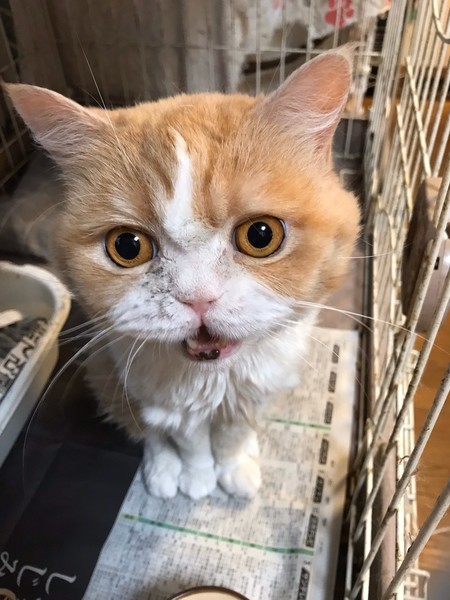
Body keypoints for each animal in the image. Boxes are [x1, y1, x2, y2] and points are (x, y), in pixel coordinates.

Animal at [6, 47, 360, 500]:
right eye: (127, 246)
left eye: (261, 235)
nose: (198, 297)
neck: (216, 380)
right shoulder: (169, 404)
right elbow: (189, 443)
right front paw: (198, 480)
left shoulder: (255, 392)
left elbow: (232, 434)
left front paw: (234, 468)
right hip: (110, 374)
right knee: (146, 431)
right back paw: (161, 472)